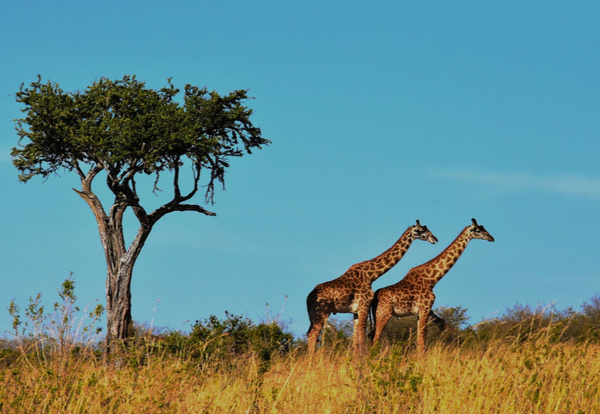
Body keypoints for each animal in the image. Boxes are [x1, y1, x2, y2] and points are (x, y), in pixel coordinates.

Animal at [308, 220, 438, 356]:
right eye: (421, 230)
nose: (435, 239)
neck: (371, 275)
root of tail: (308, 298)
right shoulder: (364, 305)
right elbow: (361, 337)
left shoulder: (356, 311)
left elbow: (357, 338)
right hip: (322, 313)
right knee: (313, 335)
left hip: (313, 315)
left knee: (310, 334)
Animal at [372, 217, 494, 352]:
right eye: (478, 230)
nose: (491, 238)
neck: (432, 279)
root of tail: (374, 298)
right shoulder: (424, 309)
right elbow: (422, 343)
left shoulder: (423, 312)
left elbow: (423, 339)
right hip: (383, 313)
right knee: (375, 338)